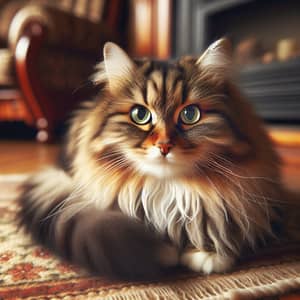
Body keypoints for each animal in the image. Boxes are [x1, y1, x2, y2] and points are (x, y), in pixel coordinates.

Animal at [18, 38, 292, 280]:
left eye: (190, 114)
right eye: (140, 115)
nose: (164, 146)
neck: (170, 191)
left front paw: (208, 252)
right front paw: (159, 250)